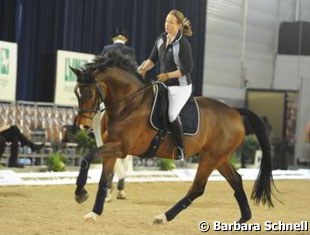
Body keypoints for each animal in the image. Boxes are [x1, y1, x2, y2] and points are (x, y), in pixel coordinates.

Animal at [70, 51, 274, 224]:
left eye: (89, 92)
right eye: (76, 92)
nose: (83, 125)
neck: (129, 103)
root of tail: (234, 111)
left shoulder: (121, 148)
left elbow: (87, 156)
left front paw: (80, 193)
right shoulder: (111, 148)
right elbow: (104, 178)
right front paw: (94, 212)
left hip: (210, 158)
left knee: (197, 188)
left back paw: (164, 216)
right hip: (219, 157)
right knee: (236, 180)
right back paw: (244, 218)